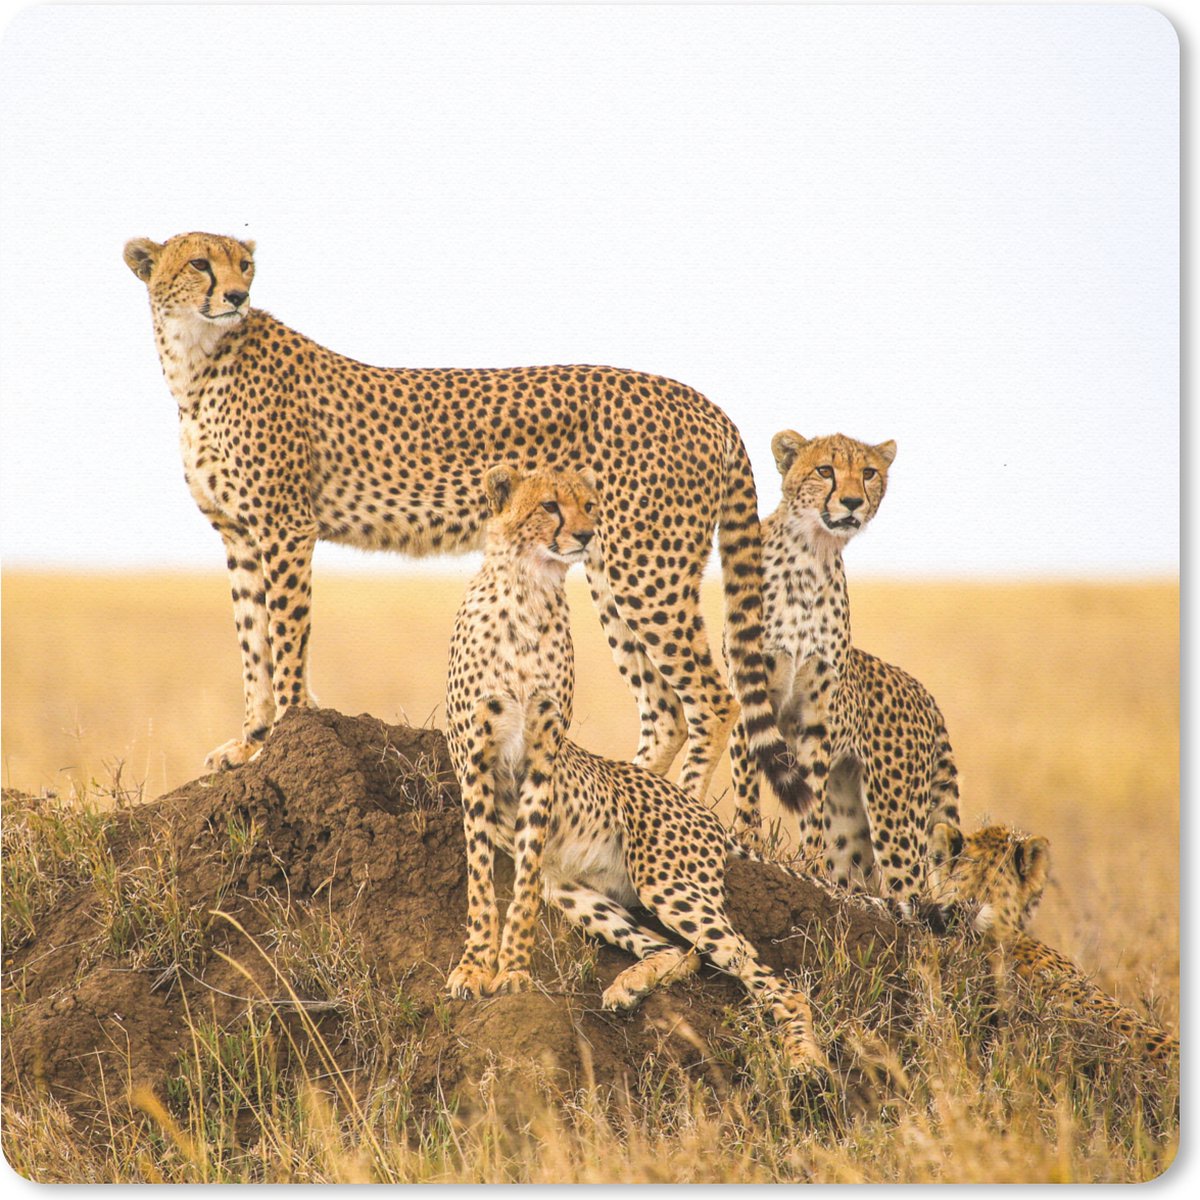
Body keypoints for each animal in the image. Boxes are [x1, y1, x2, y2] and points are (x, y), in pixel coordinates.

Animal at [122, 232, 804, 808]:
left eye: (245, 264)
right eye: (200, 263)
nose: (237, 296)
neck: (196, 362)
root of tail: (703, 401)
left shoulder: (285, 525)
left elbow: (285, 639)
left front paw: (283, 733)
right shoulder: (239, 534)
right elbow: (252, 644)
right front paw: (250, 742)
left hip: (647, 568)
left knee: (714, 699)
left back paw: (681, 808)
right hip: (609, 566)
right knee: (665, 709)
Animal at [442, 464, 828, 1073]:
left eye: (590, 504)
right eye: (549, 506)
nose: (585, 535)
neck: (528, 591)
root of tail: (698, 809)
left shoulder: (542, 760)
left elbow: (519, 888)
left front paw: (514, 972)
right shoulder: (476, 764)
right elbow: (483, 879)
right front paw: (475, 967)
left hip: (669, 883)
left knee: (768, 976)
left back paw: (804, 1057)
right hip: (576, 891)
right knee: (682, 951)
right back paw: (629, 986)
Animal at [729, 432, 960, 908]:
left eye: (868, 472)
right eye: (825, 470)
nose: (852, 501)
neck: (811, 554)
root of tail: (923, 691)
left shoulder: (816, 716)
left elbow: (810, 801)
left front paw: (809, 868)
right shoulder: (749, 693)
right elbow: (746, 788)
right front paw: (747, 844)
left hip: (894, 813)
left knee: (909, 889)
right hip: (859, 819)